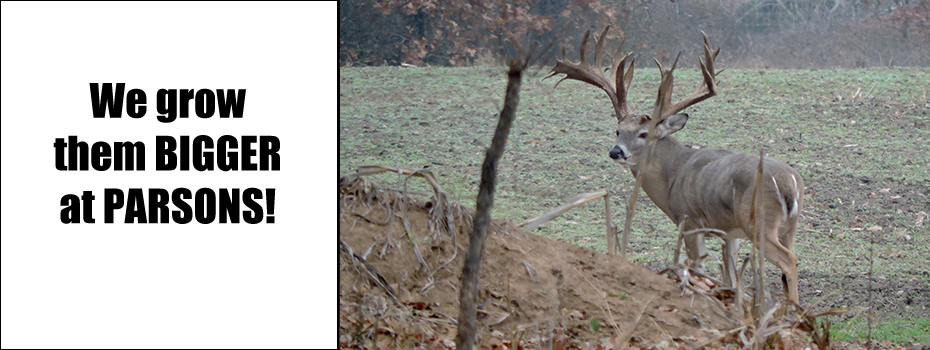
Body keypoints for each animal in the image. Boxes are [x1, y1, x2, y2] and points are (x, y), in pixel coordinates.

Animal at [548, 27, 800, 304]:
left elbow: (698, 267)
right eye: (618, 130)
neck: (673, 175)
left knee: (789, 260)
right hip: (788, 226)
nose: (616, 152)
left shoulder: (688, 221)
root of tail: (788, 182)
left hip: (757, 221)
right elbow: (731, 278)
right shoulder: (728, 233)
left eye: (644, 134)